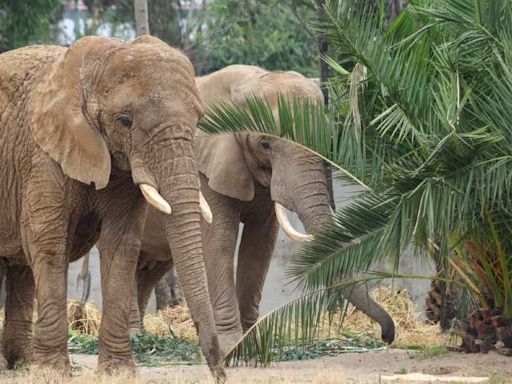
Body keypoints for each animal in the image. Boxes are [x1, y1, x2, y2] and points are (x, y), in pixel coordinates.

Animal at [0, 34, 224, 380]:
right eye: (125, 121)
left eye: (198, 120)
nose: (221, 374)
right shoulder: (42, 155)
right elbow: (48, 243)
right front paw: (53, 374)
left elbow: (121, 246)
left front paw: (118, 373)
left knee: (20, 265)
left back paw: (20, 365)